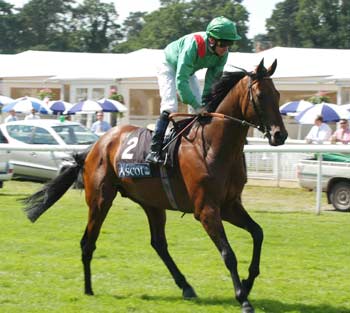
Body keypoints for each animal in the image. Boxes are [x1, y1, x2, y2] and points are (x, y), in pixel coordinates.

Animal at [23, 58, 288, 312]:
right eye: (260, 96)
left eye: (277, 95)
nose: (280, 135)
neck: (213, 146)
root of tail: (95, 145)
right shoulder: (207, 210)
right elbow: (228, 254)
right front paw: (243, 299)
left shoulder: (229, 205)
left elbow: (258, 233)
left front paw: (248, 281)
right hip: (100, 199)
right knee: (88, 241)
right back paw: (88, 288)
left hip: (152, 203)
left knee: (158, 243)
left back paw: (186, 286)